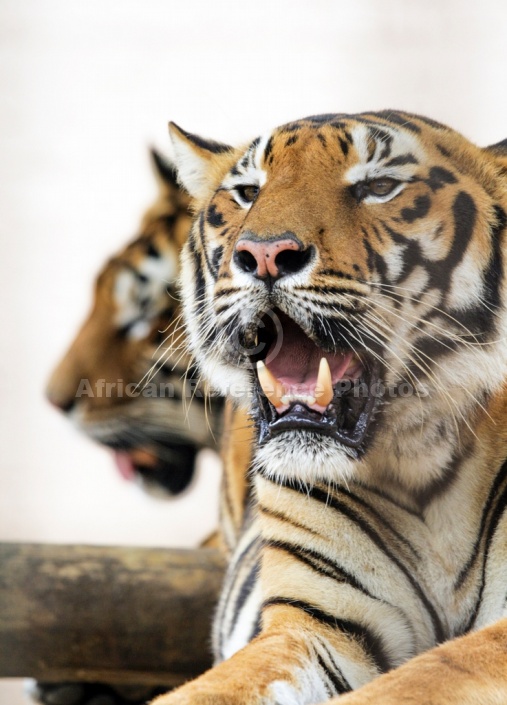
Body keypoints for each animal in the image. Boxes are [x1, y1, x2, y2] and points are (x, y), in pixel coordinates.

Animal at [149, 111, 507, 704]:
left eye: (378, 187)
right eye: (248, 192)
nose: (265, 255)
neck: (418, 461)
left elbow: (419, 678)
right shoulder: (318, 625)